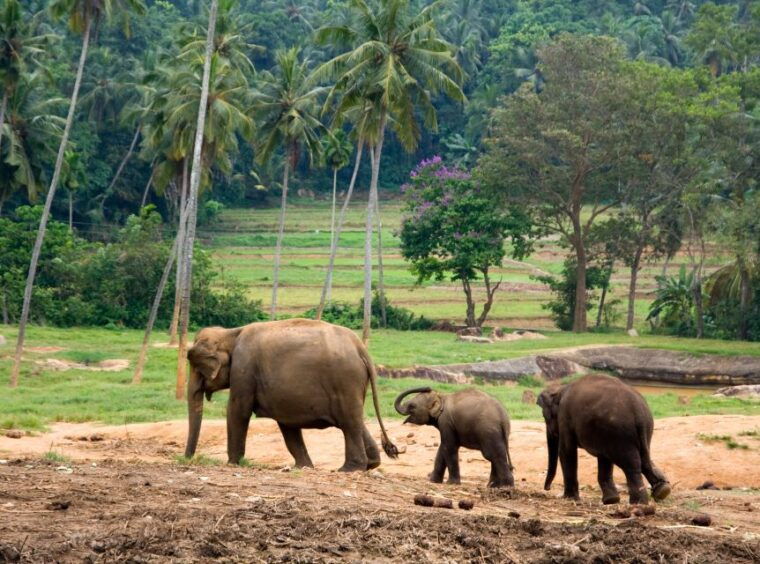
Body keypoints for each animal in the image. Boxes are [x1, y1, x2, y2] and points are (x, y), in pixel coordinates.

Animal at [184, 319, 398, 471]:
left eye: (197, 367)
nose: (187, 458)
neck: (231, 333)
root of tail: (360, 347)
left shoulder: (244, 369)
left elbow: (238, 410)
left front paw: (232, 464)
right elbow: (287, 423)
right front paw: (303, 467)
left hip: (345, 381)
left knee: (349, 422)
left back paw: (349, 469)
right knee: (354, 420)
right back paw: (371, 464)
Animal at [537, 373, 672, 505]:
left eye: (545, 416)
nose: (547, 488)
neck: (560, 389)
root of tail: (638, 412)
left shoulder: (565, 417)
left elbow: (566, 451)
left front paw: (569, 498)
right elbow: (603, 459)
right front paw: (611, 500)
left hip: (620, 433)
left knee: (631, 465)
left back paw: (638, 503)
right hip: (638, 431)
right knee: (644, 458)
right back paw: (663, 490)